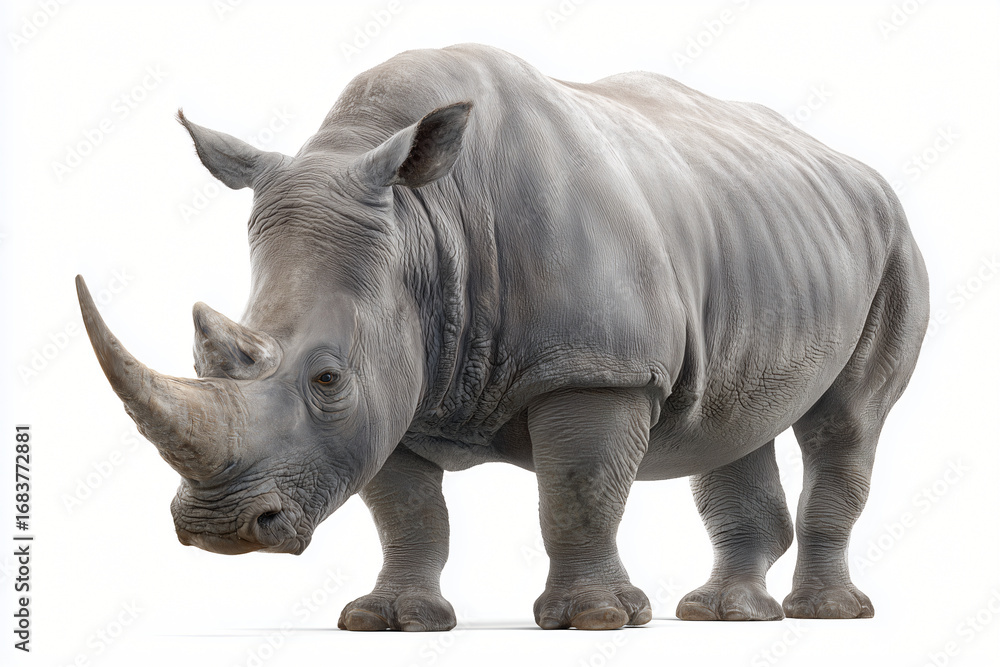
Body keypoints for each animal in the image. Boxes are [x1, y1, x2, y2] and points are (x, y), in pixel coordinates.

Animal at [76, 43, 928, 631]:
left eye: (327, 378)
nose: (220, 529)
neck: (425, 225)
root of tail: (852, 166)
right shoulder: (401, 379)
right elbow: (408, 512)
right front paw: (389, 621)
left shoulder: (597, 367)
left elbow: (577, 492)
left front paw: (596, 619)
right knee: (733, 417)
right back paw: (721, 614)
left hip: (893, 242)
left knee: (846, 423)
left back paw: (824, 614)